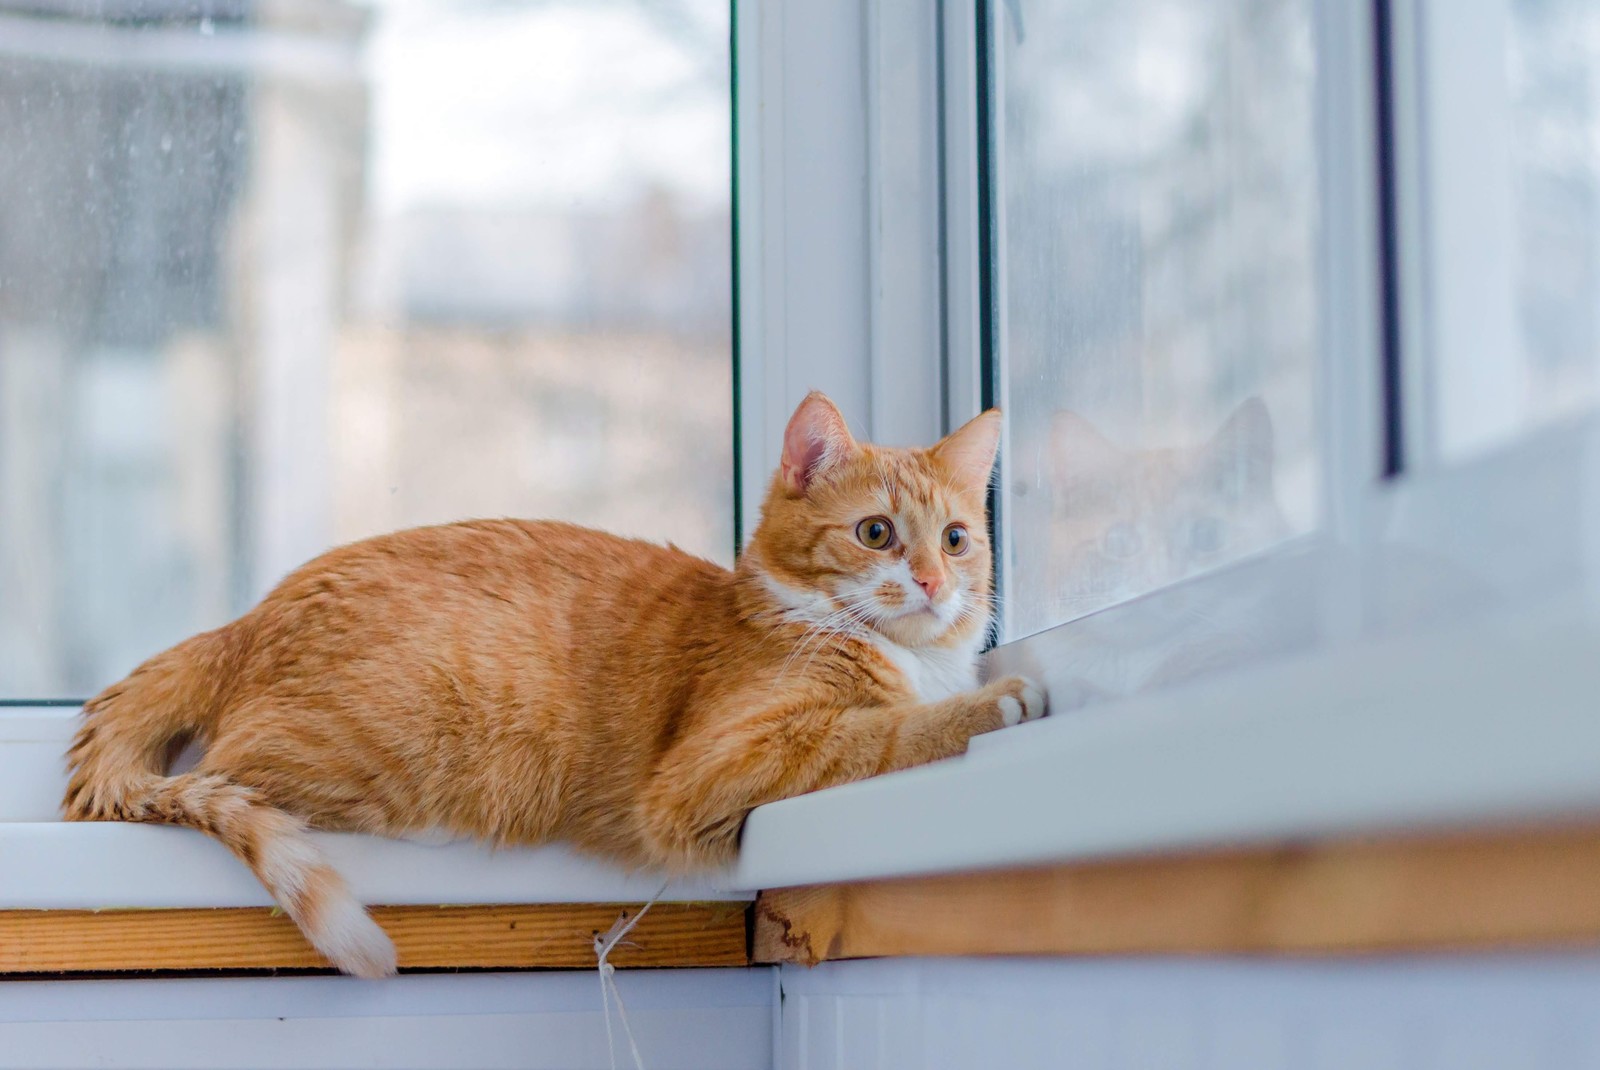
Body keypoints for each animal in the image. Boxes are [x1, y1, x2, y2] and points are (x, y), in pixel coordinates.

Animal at [62, 391, 1043, 978]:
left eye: (957, 539)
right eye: (877, 533)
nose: (932, 580)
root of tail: (249, 618)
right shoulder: (711, 771)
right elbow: (882, 732)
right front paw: (992, 705)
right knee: (224, 771)